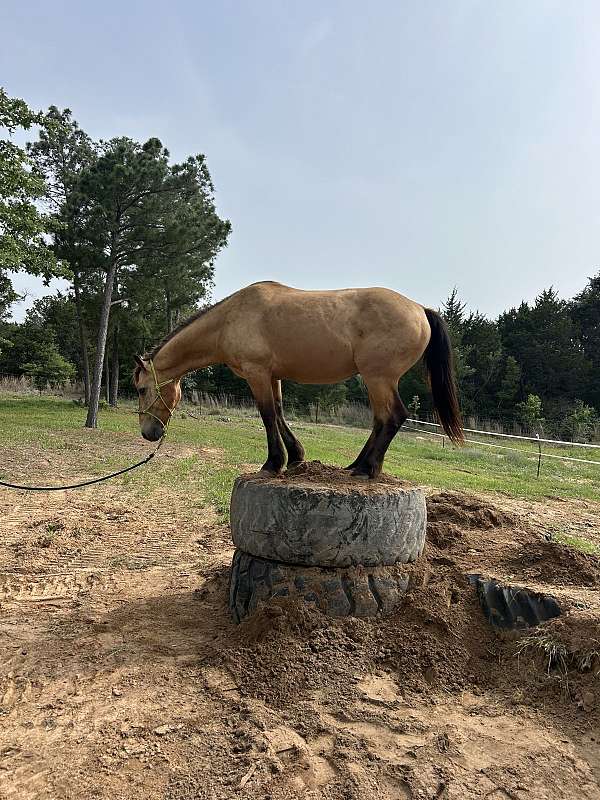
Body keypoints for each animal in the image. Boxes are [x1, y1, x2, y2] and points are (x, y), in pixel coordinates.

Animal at [133, 281, 463, 478]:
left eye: (141, 389)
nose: (149, 433)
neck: (229, 319)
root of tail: (420, 309)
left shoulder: (256, 373)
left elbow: (267, 415)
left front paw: (272, 463)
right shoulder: (272, 375)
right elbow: (279, 413)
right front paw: (295, 458)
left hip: (378, 377)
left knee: (394, 416)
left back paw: (367, 469)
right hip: (377, 380)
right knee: (381, 420)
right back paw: (357, 465)